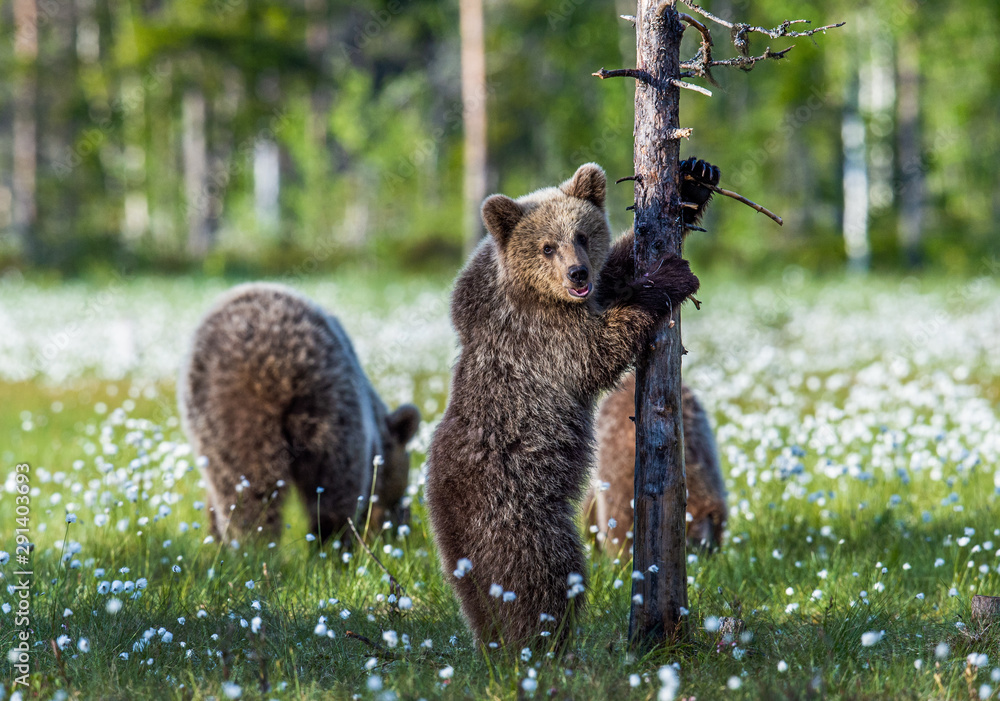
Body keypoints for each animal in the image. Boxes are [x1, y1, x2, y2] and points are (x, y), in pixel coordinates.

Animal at [178, 282, 421, 543]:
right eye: (403, 487)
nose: (403, 522)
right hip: (329, 406)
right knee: (334, 484)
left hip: (225, 416)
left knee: (244, 485)